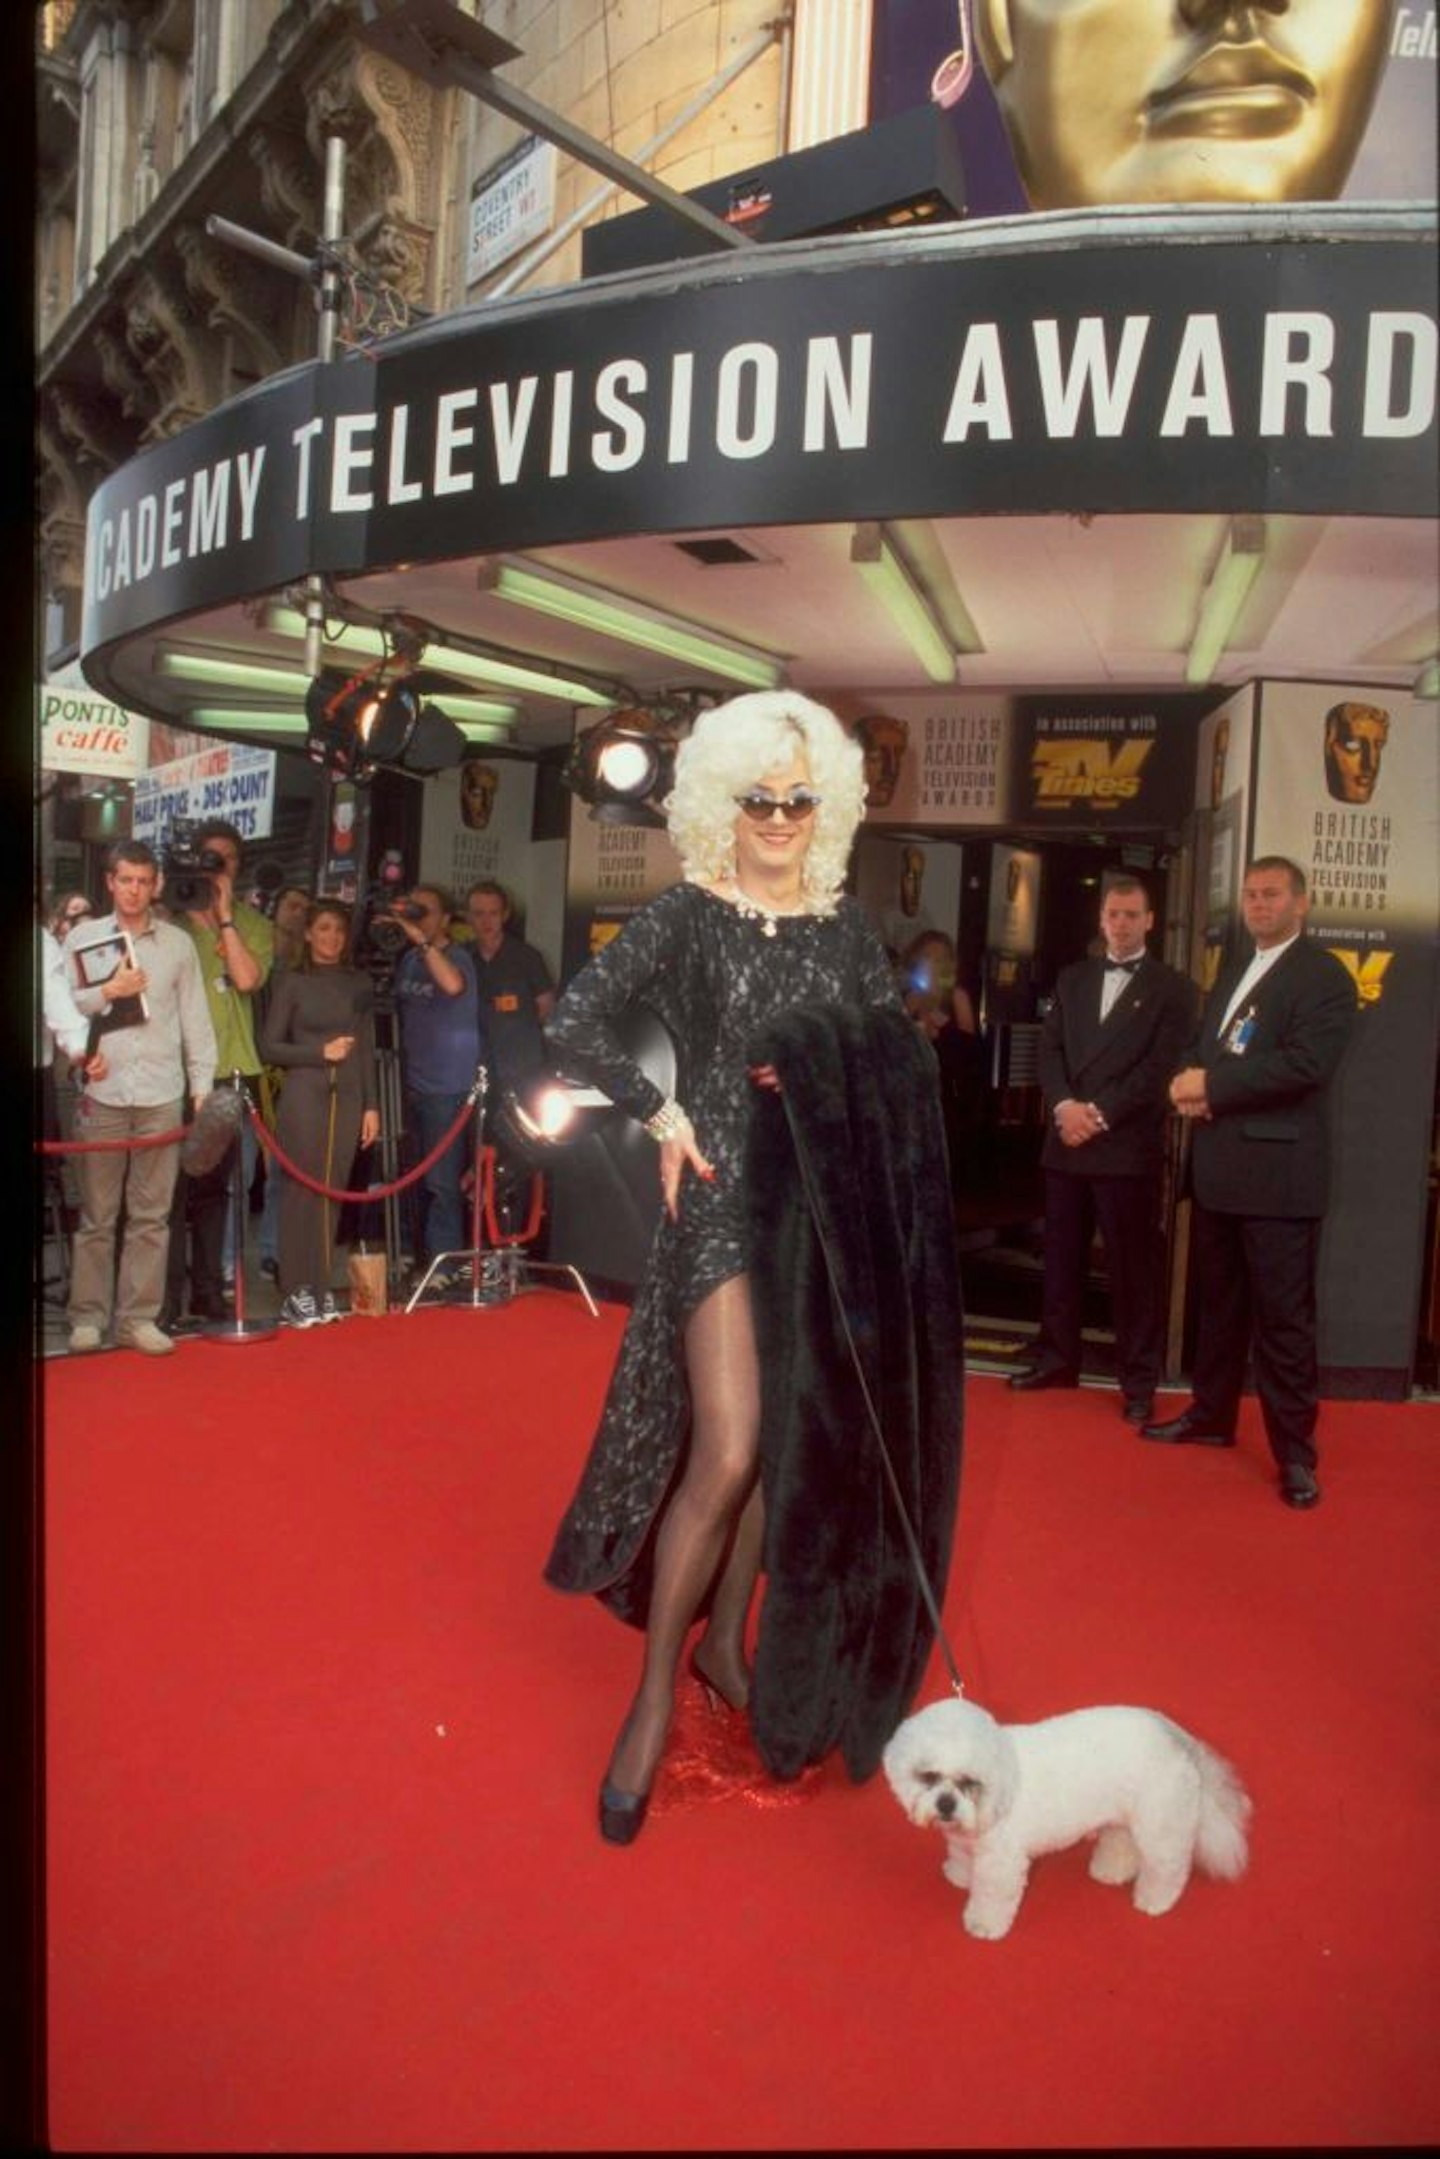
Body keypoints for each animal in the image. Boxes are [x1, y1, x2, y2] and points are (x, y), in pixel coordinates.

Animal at [880, 1701, 1252, 1943]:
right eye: (928, 1776)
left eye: (970, 1782)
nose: (946, 1804)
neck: (1004, 1777)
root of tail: (1175, 1735)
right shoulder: (965, 1843)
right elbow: (960, 1859)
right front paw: (959, 1877)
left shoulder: (1002, 1861)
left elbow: (992, 1894)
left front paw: (983, 1924)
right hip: (1122, 1812)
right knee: (1121, 1841)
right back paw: (1110, 1871)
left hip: (1160, 1821)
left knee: (1169, 1865)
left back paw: (1154, 1901)